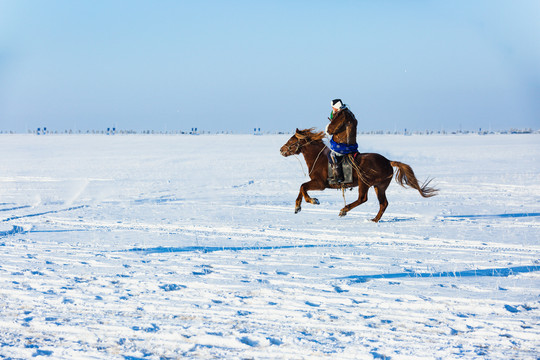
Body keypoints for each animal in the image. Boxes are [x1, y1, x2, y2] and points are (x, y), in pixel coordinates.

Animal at [280, 128, 436, 221]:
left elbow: (303, 187)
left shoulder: (320, 183)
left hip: (364, 182)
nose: (281, 150)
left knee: (363, 198)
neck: (319, 159)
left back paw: (344, 210)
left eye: (292, 140)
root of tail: (388, 161)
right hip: (379, 186)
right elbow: (301, 188)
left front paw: (313, 201)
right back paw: (374, 220)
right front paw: (297, 207)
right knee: (383, 203)